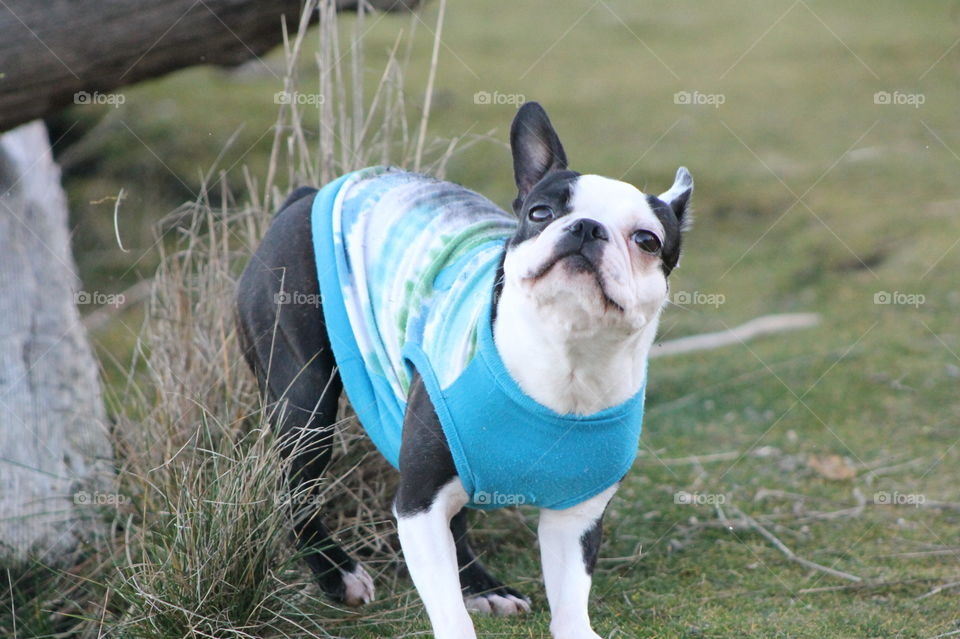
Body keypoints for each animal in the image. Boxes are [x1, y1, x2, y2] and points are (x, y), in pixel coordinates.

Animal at [237, 102, 692, 636]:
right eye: (540, 213)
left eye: (647, 240)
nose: (585, 227)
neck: (570, 357)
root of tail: (308, 195)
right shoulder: (419, 502)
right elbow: (448, 610)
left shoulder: (574, 518)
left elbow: (570, 604)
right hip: (304, 392)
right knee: (296, 488)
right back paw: (338, 575)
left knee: (452, 519)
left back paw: (482, 587)